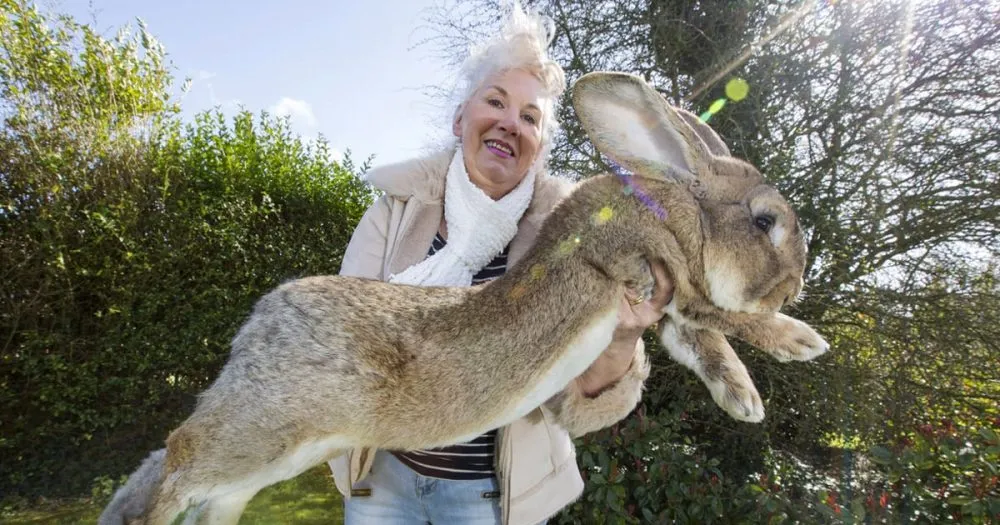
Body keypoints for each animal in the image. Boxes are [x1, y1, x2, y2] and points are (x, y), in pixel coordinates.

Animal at [98, 71, 827, 525]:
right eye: (766, 220)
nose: (797, 282)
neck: (679, 209)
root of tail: (256, 327)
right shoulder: (654, 268)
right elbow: (726, 316)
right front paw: (801, 341)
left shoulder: (668, 307)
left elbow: (703, 342)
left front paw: (744, 400)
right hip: (264, 429)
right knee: (177, 456)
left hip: (278, 452)